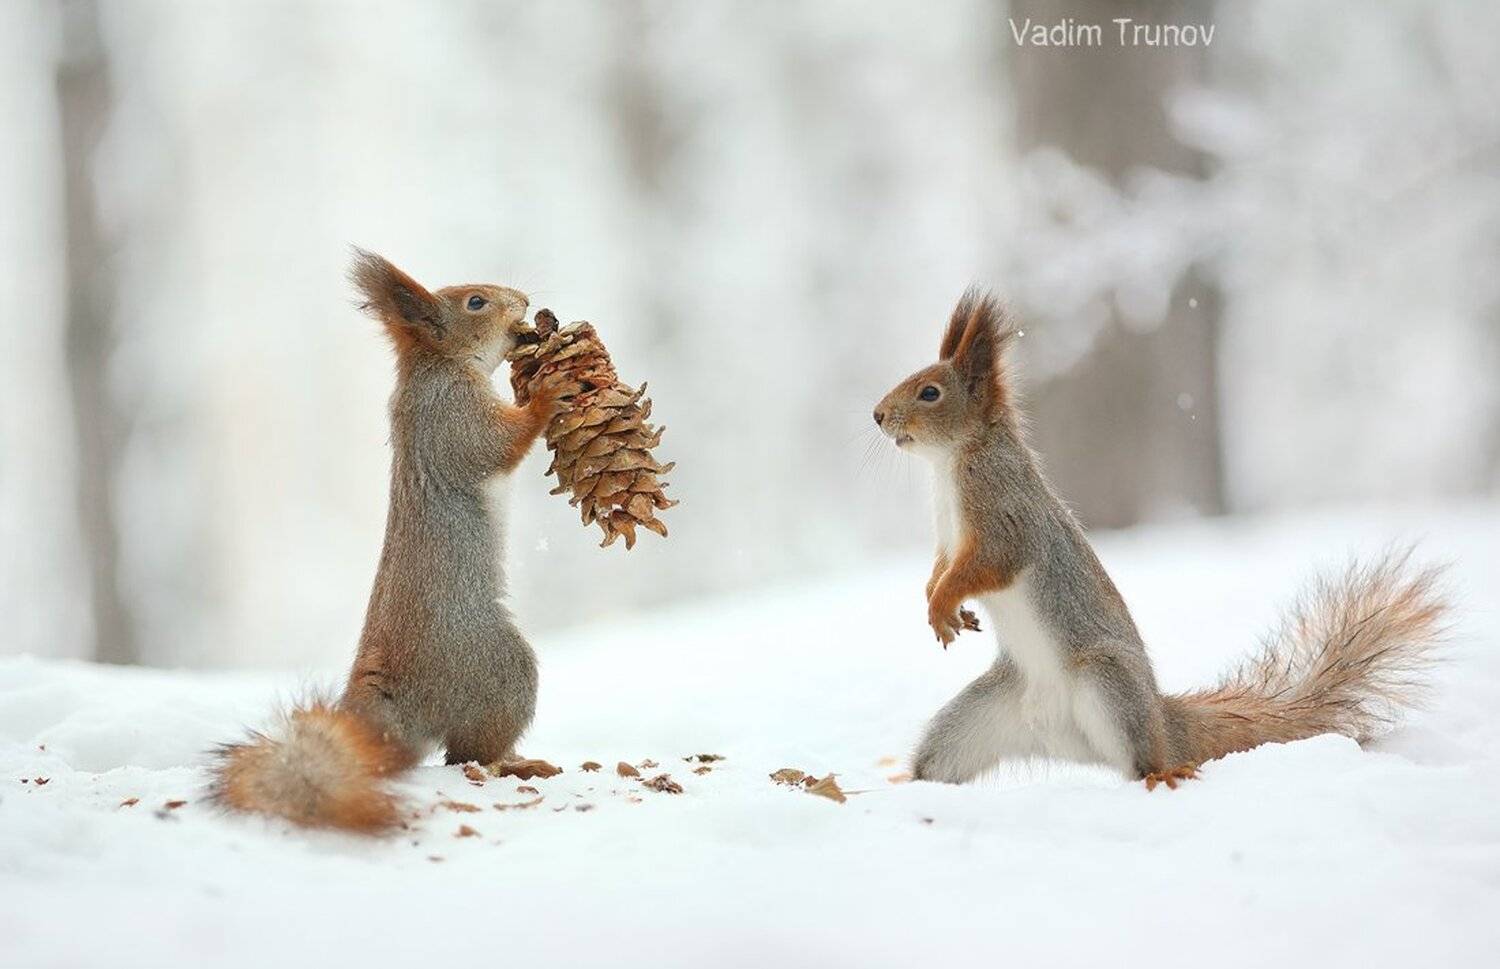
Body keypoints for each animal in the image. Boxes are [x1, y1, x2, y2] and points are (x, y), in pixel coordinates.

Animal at [209, 250, 574, 831]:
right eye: (476, 302)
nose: (522, 300)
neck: (439, 367)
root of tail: (394, 700)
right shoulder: (451, 417)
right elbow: (498, 445)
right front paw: (545, 395)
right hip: (495, 663)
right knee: (466, 753)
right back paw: (517, 763)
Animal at [874, 290, 1448, 789]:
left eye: (930, 392)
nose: (877, 416)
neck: (952, 462)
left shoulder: (1004, 518)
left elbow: (986, 565)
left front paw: (945, 602)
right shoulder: (949, 539)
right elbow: (941, 567)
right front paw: (938, 600)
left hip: (1110, 686)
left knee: (1141, 758)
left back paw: (1163, 773)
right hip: (976, 718)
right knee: (942, 758)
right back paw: (909, 782)